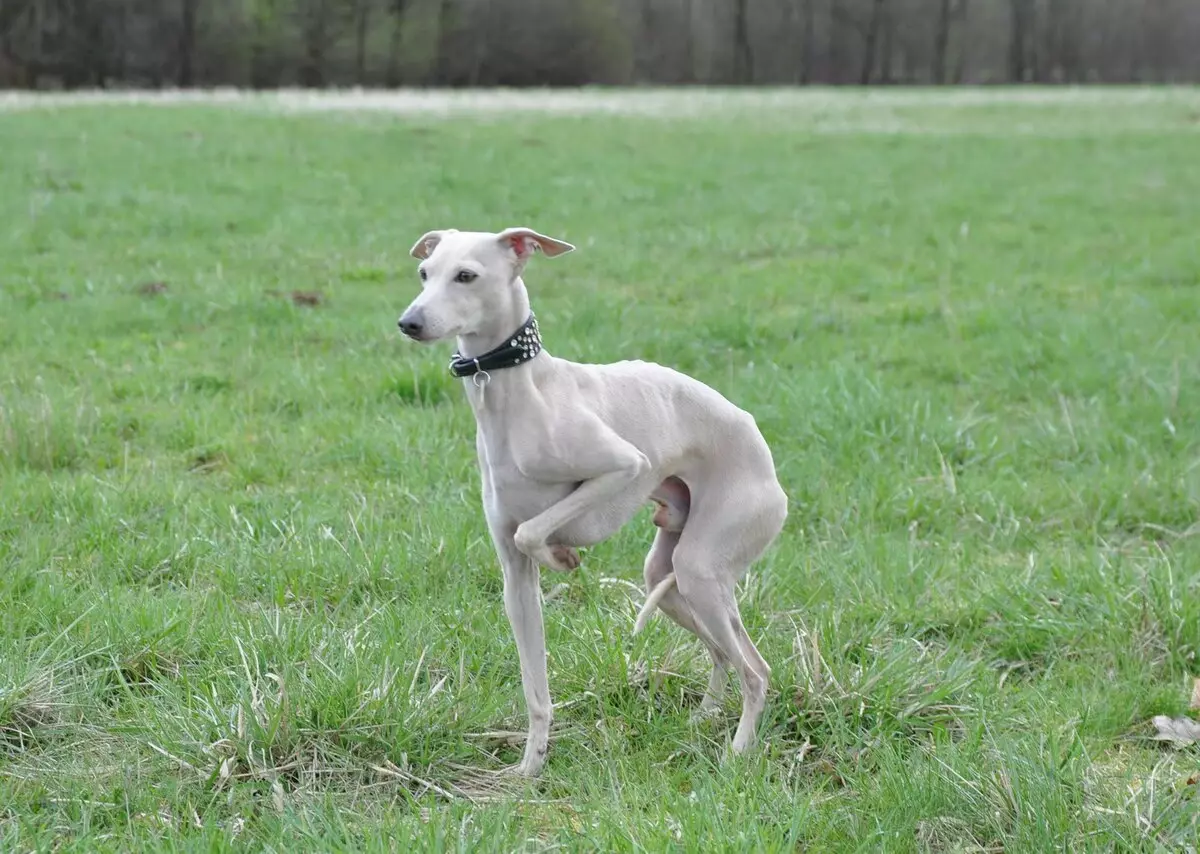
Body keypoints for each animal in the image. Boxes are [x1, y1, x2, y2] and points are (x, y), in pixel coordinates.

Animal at [396, 226, 787, 772]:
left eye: (466, 275)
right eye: (424, 273)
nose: (409, 323)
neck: (521, 395)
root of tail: (761, 447)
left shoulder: (624, 467)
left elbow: (534, 528)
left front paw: (562, 555)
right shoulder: (515, 582)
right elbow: (535, 688)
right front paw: (531, 767)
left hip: (701, 567)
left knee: (756, 669)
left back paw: (737, 752)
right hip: (672, 576)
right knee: (722, 653)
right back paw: (705, 717)